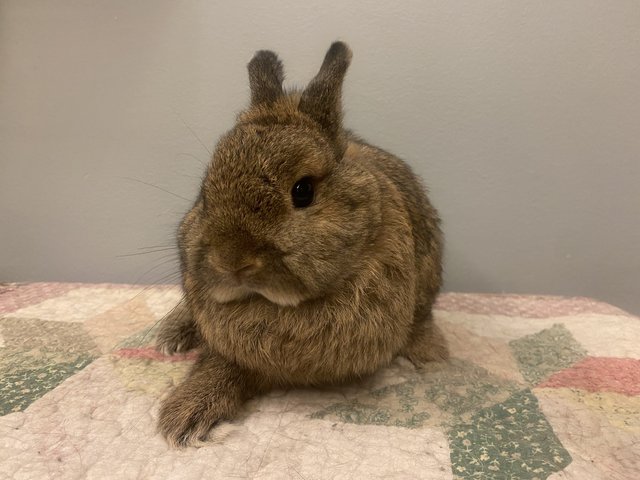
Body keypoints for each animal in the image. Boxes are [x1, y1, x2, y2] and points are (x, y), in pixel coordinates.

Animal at [155, 41, 444, 446]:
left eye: (303, 191)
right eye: (205, 192)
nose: (231, 261)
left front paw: (183, 416)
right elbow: (222, 364)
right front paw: (184, 414)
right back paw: (170, 336)